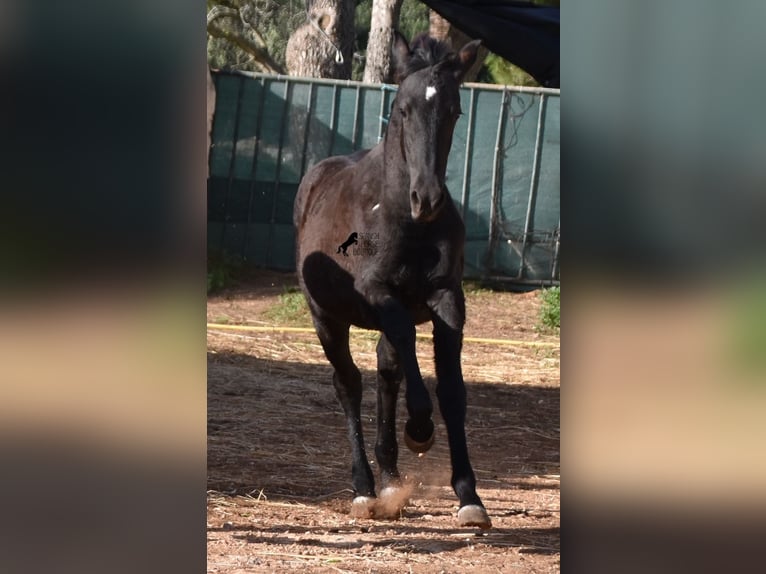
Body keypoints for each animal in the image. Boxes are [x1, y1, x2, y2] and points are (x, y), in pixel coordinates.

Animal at [294, 33, 492, 532]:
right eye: (402, 108)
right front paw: (419, 428)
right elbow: (404, 349)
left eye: (454, 110)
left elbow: (452, 390)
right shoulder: (379, 294)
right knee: (349, 383)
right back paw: (365, 488)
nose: (428, 198)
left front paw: (469, 496)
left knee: (387, 372)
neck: (404, 219)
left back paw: (390, 479)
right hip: (326, 319)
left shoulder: (448, 298)